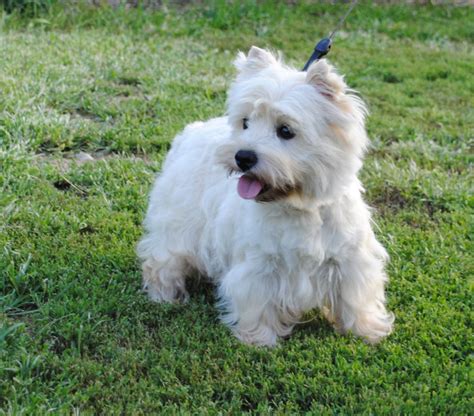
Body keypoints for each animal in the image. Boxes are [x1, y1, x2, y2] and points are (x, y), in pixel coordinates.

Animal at [136, 45, 392, 346]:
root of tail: (192, 131)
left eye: (286, 130)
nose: (243, 156)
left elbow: (356, 297)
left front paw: (367, 330)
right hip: (178, 225)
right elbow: (257, 301)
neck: (300, 205)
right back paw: (165, 296)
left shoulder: (349, 260)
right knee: (162, 260)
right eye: (245, 122)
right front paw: (259, 339)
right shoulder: (261, 266)